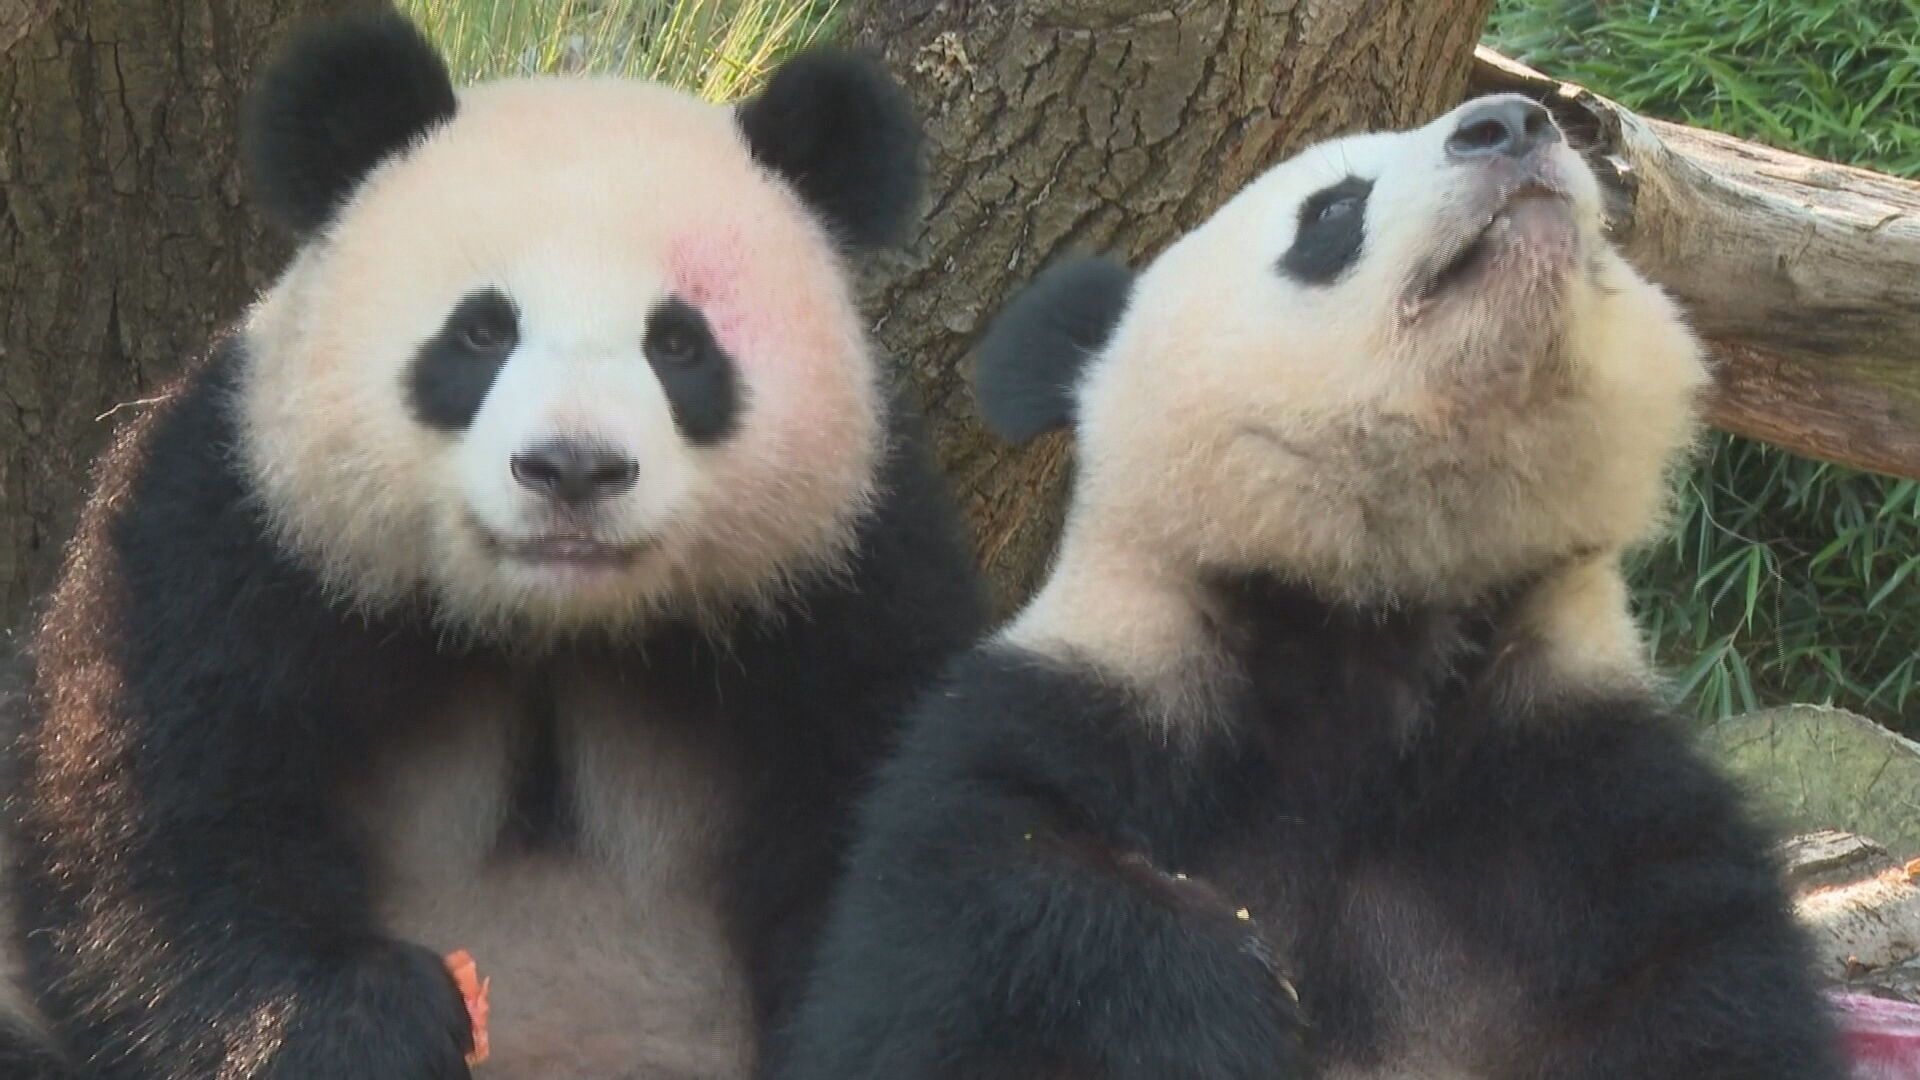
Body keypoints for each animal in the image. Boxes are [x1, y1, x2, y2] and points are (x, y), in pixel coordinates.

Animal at [2, 9, 984, 1079]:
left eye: (679, 346)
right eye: (480, 333)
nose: (573, 468)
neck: (549, 624)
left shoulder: (851, 579)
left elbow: (913, 859)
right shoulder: (234, 536)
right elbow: (161, 829)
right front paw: (370, 1021)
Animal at [777, 95, 1844, 1079]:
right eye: (1332, 210)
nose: (1511, 120)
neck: (1369, 610)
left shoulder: (1580, 794)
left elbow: (1706, 994)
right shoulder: (1077, 717)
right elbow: (973, 948)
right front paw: (1226, 993)